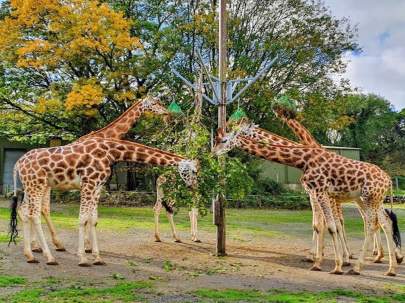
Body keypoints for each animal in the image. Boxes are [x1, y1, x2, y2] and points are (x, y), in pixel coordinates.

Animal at [10, 138, 198, 266]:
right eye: (194, 171)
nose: (192, 187)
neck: (111, 151)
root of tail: (17, 163)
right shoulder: (89, 183)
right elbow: (82, 219)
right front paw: (83, 258)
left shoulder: (98, 187)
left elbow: (93, 220)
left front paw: (97, 257)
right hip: (37, 184)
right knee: (34, 214)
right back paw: (49, 257)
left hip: (33, 186)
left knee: (25, 211)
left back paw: (30, 255)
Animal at [26, 96, 169, 253]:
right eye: (155, 103)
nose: (167, 114)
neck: (105, 136)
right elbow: (88, 216)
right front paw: (87, 246)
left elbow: (90, 216)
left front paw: (88, 245)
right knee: (39, 208)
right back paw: (46, 245)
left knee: (36, 208)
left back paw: (43, 245)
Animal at [213, 124, 400, 276]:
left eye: (224, 139)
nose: (213, 152)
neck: (302, 159)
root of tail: (389, 179)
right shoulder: (315, 193)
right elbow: (320, 225)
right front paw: (317, 260)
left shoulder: (321, 191)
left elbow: (330, 226)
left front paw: (336, 265)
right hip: (369, 200)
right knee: (384, 222)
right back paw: (390, 267)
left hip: (369, 198)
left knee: (373, 225)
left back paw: (360, 266)